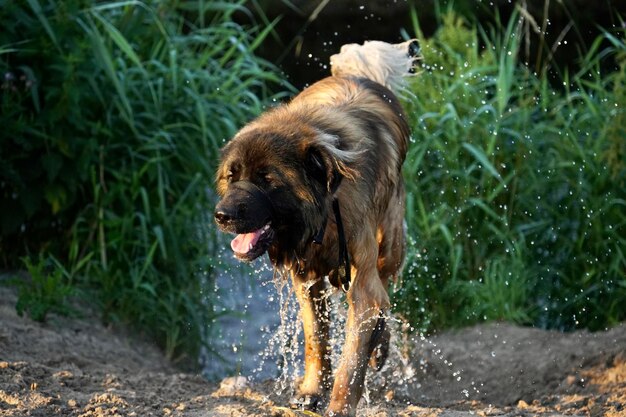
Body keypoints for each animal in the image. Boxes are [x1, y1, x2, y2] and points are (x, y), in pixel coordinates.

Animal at [214, 39, 414, 416]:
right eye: (232, 177)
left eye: (267, 180)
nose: (222, 215)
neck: (324, 211)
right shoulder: (306, 277)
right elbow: (315, 338)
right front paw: (311, 390)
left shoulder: (361, 281)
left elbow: (351, 359)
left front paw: (339, 404)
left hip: (390, 245)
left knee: (385, 292)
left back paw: (380, 344)